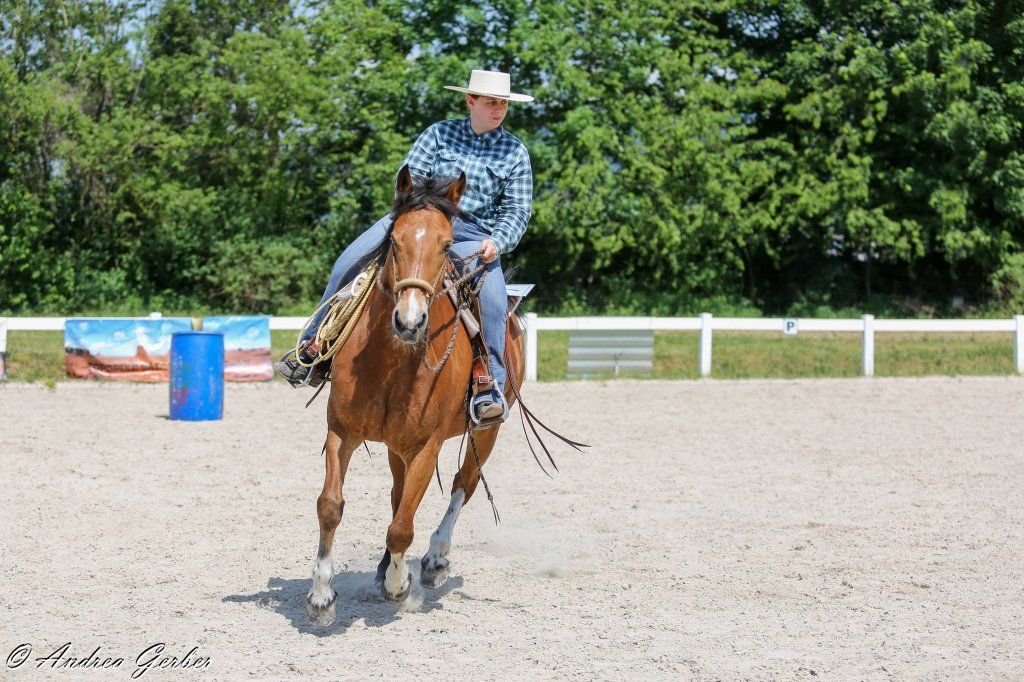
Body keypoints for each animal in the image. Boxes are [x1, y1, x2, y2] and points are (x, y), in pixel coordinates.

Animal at [305, 165, 525, 621]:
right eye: (394, 240)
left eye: (446, 245)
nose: (410, 321)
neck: (393, 360)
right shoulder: (341, 432)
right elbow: (331, 505)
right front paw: (321, 596)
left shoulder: (426, 446)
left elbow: (403, 526)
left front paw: (398, 585)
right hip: (396, 446)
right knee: (397, 492)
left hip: (486, 432)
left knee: (463, 484)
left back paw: (434, 560)